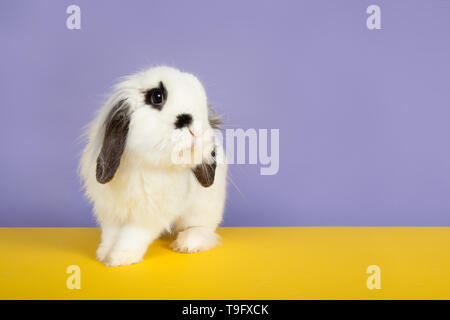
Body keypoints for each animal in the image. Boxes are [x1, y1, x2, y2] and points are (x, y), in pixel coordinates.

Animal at [79, 66, 227, 266]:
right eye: (156, 96)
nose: (196, 129)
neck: (142, 165)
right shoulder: (110, 210)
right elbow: (111, 233)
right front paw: (104, 254)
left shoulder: (149, 214)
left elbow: (133, 235)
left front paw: (119, 258)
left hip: (205, 205)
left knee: (203, 227)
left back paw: (188, 243)